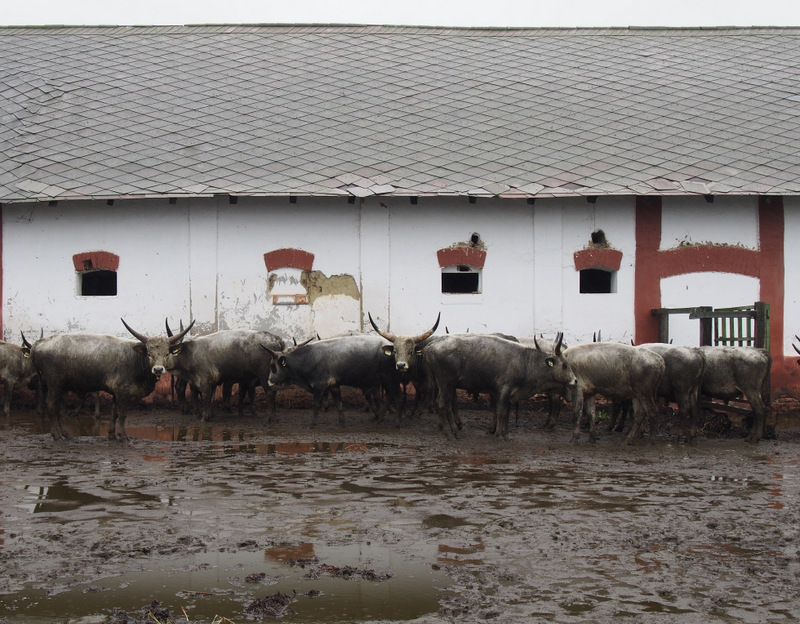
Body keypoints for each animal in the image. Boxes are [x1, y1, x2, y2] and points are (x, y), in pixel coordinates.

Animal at [26, 319, 193, 441]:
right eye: (149, 353)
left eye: (166, 353)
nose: (158, 369)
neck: (135, 358)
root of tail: (39, 344)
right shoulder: (123, 391)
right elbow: (122, 413)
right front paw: (123, 436)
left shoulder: (115, 392)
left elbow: (114, 412)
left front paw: (112, 434)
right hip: (53, 384)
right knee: (51, 405)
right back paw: (55, 435)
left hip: (61, 386)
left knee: (60, 408)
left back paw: (67, 435)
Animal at [264, 334, 404, 427]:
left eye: (273, 367)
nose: (269, 382)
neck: (308, 358)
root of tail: (391, 346)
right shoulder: (334, 386)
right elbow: (339, 404)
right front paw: (342, 421)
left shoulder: (319, 386)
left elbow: (316, 404)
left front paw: (312, 424)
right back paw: (381, 417)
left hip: (389, 380)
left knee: (397, 397)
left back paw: (396, 421)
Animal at [422, 332, 575, 440]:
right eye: (564, 365)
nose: (575, 380)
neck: (525, 361)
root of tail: (431, 346)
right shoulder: (504, 388)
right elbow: (501, 411)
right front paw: (500, 434)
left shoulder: (506, 392)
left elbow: (505, 411)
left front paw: (504, 433)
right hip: (445, 382)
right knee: (441, 403)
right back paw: (448, 433)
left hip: (447, 385)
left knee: (447, 405)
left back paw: (453, 430)